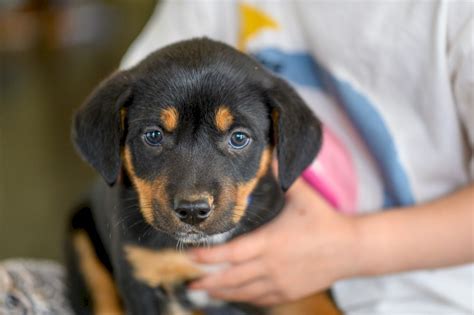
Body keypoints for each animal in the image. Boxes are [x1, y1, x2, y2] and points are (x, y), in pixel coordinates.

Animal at [67, 39, 336, 315]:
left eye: (239, 138)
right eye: (153, 135)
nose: (193, 211)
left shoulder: (294, 290)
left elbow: (323, 304)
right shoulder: (141, 275)